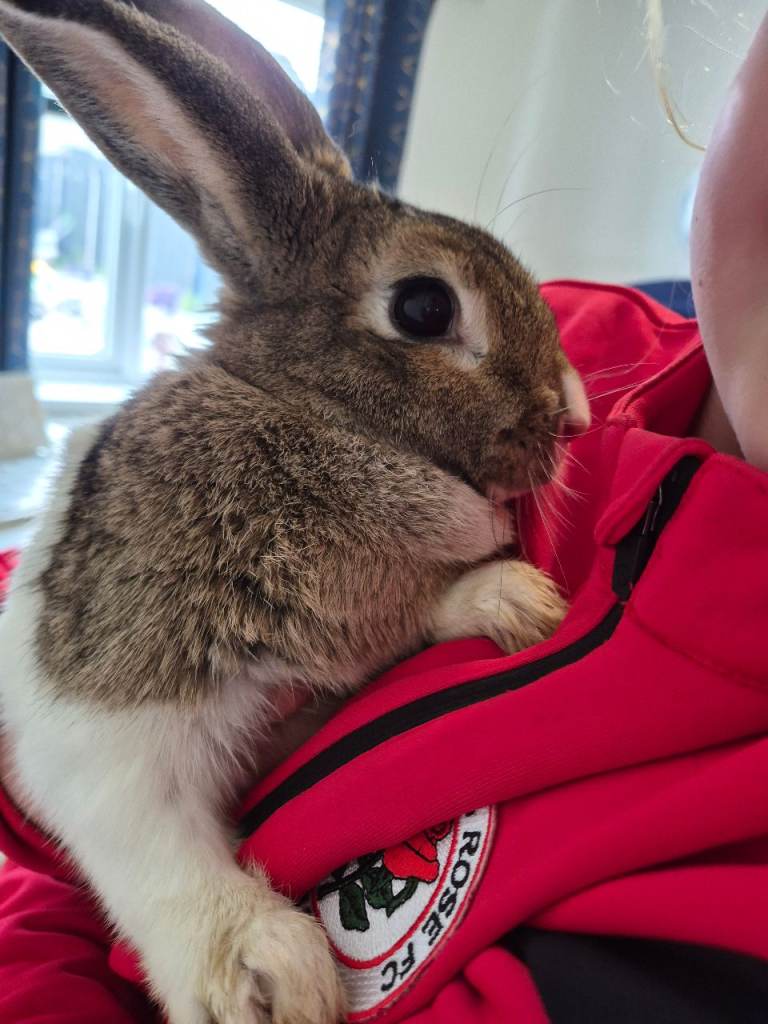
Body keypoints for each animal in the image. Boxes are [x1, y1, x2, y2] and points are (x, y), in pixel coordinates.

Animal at [0, 1, 590, 1022]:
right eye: (425, 307)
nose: (571, 419)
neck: (315, 418)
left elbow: (424, 611)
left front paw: (514, 601)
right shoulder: (108, 713)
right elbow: (152, 843)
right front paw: (264, 971)